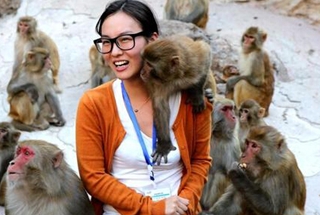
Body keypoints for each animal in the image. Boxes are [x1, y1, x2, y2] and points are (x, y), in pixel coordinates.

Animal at [141, 34, 214, 165]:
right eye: (144, 62)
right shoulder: (158, 82)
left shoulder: (194, 62)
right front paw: (164, 145)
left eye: (149, 65)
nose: (142, 72)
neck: (174, 75)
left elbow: (205, 52)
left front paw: (196, 94)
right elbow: (160, 105)